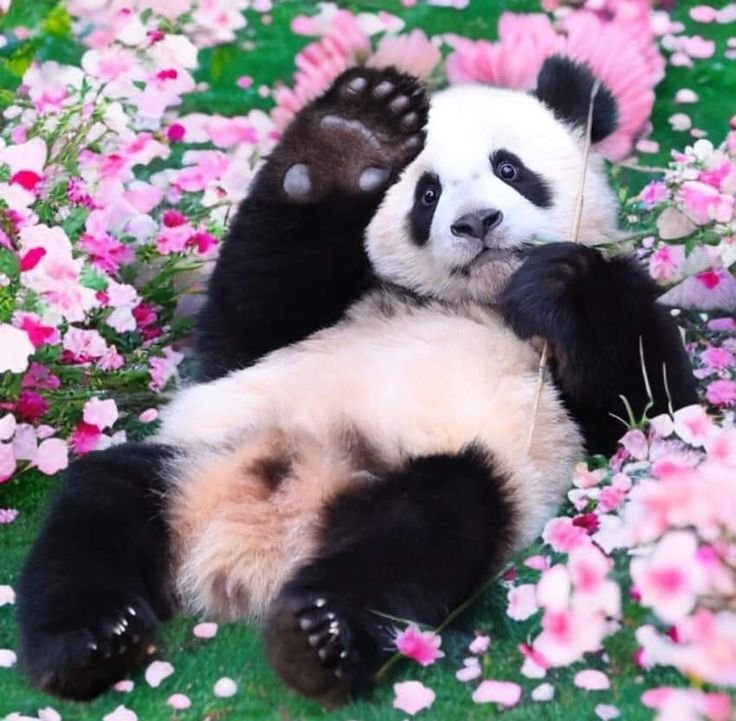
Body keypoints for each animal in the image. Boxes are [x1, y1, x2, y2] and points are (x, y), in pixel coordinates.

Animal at [16, 58, 697, 706]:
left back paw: (316, 636)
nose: (477, 223)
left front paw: (558, 278)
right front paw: (352, 137)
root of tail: (253, 546)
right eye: (427, 194)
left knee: (425, 527)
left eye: (508, 167)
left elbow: (648, 410)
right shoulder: (290, 329)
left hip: (446, 471)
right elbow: (249, 311)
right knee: (97, 509)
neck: (475, 298)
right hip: (196, 458)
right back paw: (89, 646)